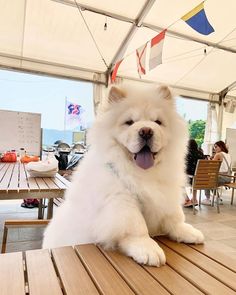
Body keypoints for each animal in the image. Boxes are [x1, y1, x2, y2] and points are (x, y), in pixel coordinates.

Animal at [43, 84, 204, 268]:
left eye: (158, 122)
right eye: (129, 122)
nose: (146, 131)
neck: (142, 174)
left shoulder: (166, 193)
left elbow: (175, 217)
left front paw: (187, 232)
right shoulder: (121, 201)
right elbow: (136, 226)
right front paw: (147, 248)